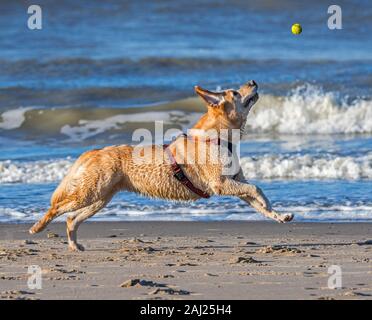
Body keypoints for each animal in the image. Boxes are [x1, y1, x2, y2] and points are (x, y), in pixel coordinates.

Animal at [29, 80, 294, 250]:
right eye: (235, 93)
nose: (253, 81)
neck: (219, 137)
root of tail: (95, 151)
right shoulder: (221, 184)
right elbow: (258, 189)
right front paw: (270, 206)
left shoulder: (236, 183)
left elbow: (259, 200)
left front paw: (279, 215)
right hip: (89, 192)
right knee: (57, 208)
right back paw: (37, 228)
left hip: (101, 199)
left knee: (71, 219)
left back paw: (75, 245)